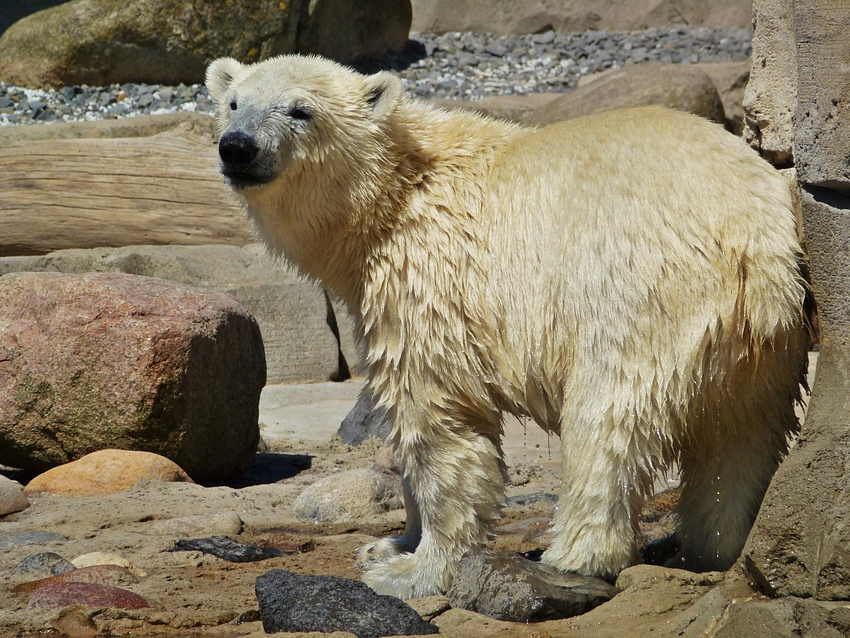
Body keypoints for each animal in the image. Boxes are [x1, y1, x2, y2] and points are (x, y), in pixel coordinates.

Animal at [205, 53, 808, 600]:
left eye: (300, 110)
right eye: (233, 103)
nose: (237, 146)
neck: (392, 199)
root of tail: (758, 242)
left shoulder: (431, 283)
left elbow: (441, 424)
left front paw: (411, 570)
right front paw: (388, 544)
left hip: (637, 295)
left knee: (607, 420)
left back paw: (573, 555)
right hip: (765, 345)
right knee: (741, 435)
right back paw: (715, 544)